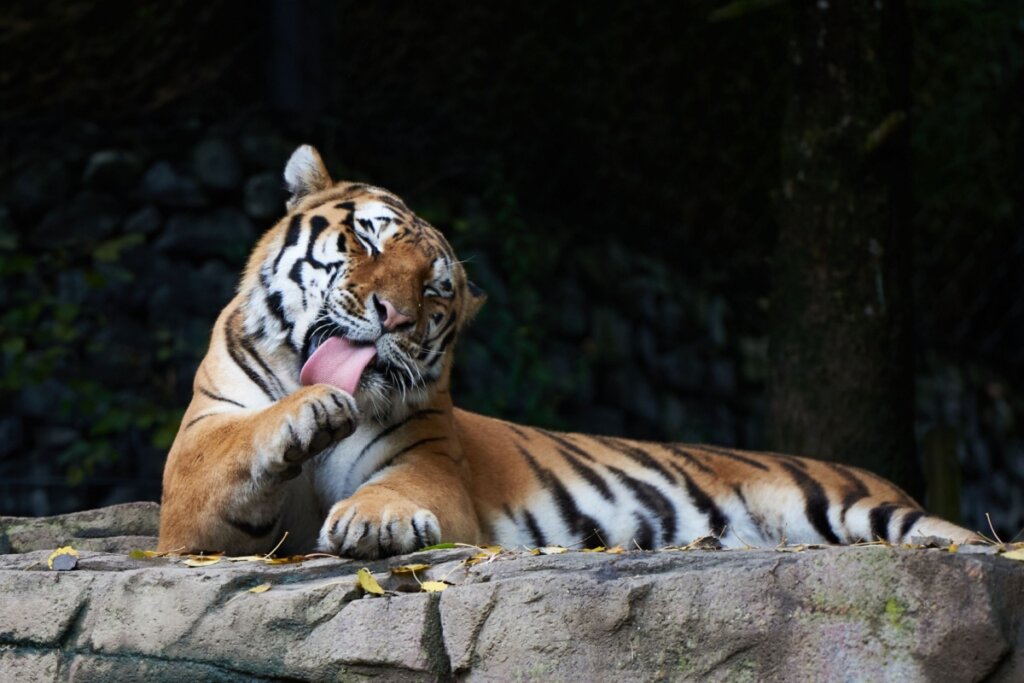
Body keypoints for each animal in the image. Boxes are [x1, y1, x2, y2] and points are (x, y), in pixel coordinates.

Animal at [155, 144, 978, 561]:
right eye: (367, 240)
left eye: (435, 291)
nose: (395, 317)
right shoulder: (195, 485)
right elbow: (233, 447)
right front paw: (309, 410)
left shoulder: (429, 467)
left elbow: (400, 491)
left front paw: (373, 523)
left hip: (860, 508)